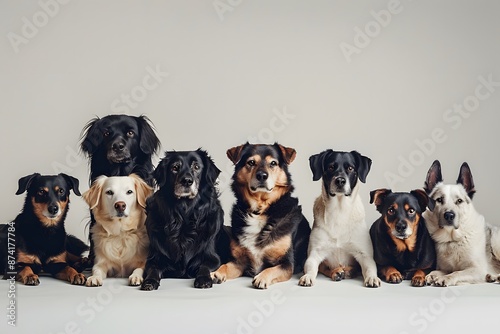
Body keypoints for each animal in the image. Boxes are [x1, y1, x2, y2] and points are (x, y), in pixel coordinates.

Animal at [142, 149, 226, 290]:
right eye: (175, 168)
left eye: (196, 167)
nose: (187, 181)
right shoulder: (154, 258)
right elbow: (153, 269)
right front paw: (150, 281)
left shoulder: (213, 258)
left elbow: (204, 266)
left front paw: (203, 279)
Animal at [210, 142, 310, 288]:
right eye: (251, 162)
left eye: (273, 163)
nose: (262, 175)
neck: (260, 211)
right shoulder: (238, 262)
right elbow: (226, 266)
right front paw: (216, 273)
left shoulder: (286, 263)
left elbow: (272, 269)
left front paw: (262, 277)